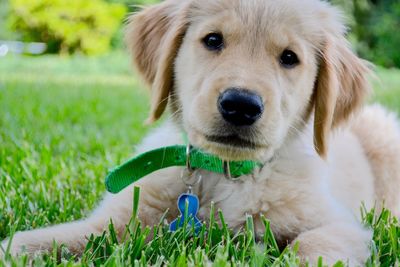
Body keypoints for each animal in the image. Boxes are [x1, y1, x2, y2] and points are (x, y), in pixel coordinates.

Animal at [0, 0, 400, 264]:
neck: (223, 175)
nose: (240, 105)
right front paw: (17, 247)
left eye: (289, 58)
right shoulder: (123, 216)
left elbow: (312, 248)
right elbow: (52, 238)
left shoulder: (342, 225)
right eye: (212, 40)